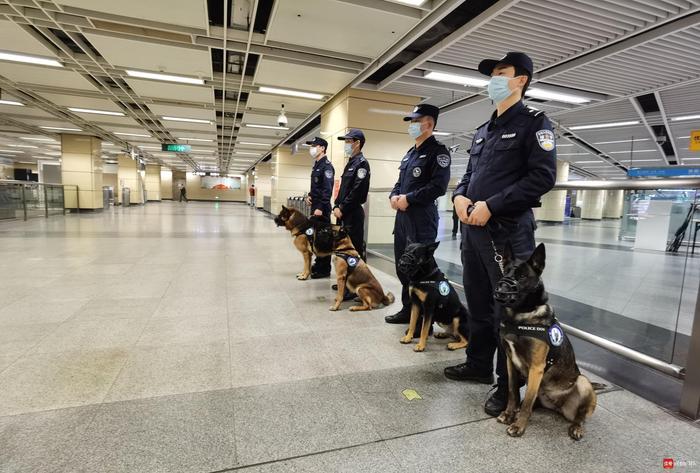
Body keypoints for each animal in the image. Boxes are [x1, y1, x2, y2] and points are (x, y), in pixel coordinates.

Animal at [492, 243, 596, 438]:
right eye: (505, 272)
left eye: (522, 276)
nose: (500, 290)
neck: (520, 316)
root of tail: (558, 405)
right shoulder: (510, 361)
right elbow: (512, 392)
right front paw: (509, 414)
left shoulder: (537, 368)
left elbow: (526, 402)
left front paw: (518, 426)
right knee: (532, 402)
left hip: (583, 382)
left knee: (580, 416)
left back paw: (577, 427)